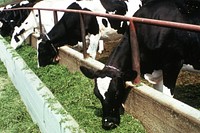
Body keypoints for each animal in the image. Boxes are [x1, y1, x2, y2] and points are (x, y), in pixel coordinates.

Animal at [79, 0, 200, 130]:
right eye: (97, 94)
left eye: (116, 93)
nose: (108, 123)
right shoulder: (158, 69)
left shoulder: (172, 64)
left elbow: (167, 97)